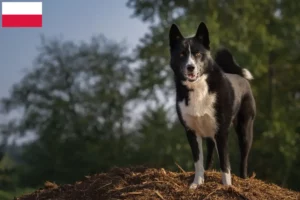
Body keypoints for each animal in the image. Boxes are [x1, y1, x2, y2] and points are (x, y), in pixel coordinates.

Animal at [169, 22, 255, 189]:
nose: (190, 67)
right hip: (209, 133)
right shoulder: (191, 132)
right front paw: (196, 184)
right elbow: (198, 161)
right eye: (182, 54)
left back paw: (244, 179)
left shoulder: (221, 132)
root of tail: (240, 77)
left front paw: (227, 187)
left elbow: (225, 163)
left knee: (244, 157)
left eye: (197, 54)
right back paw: (208, 172)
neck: (198, 88)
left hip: (245, 130)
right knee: (209, 155)